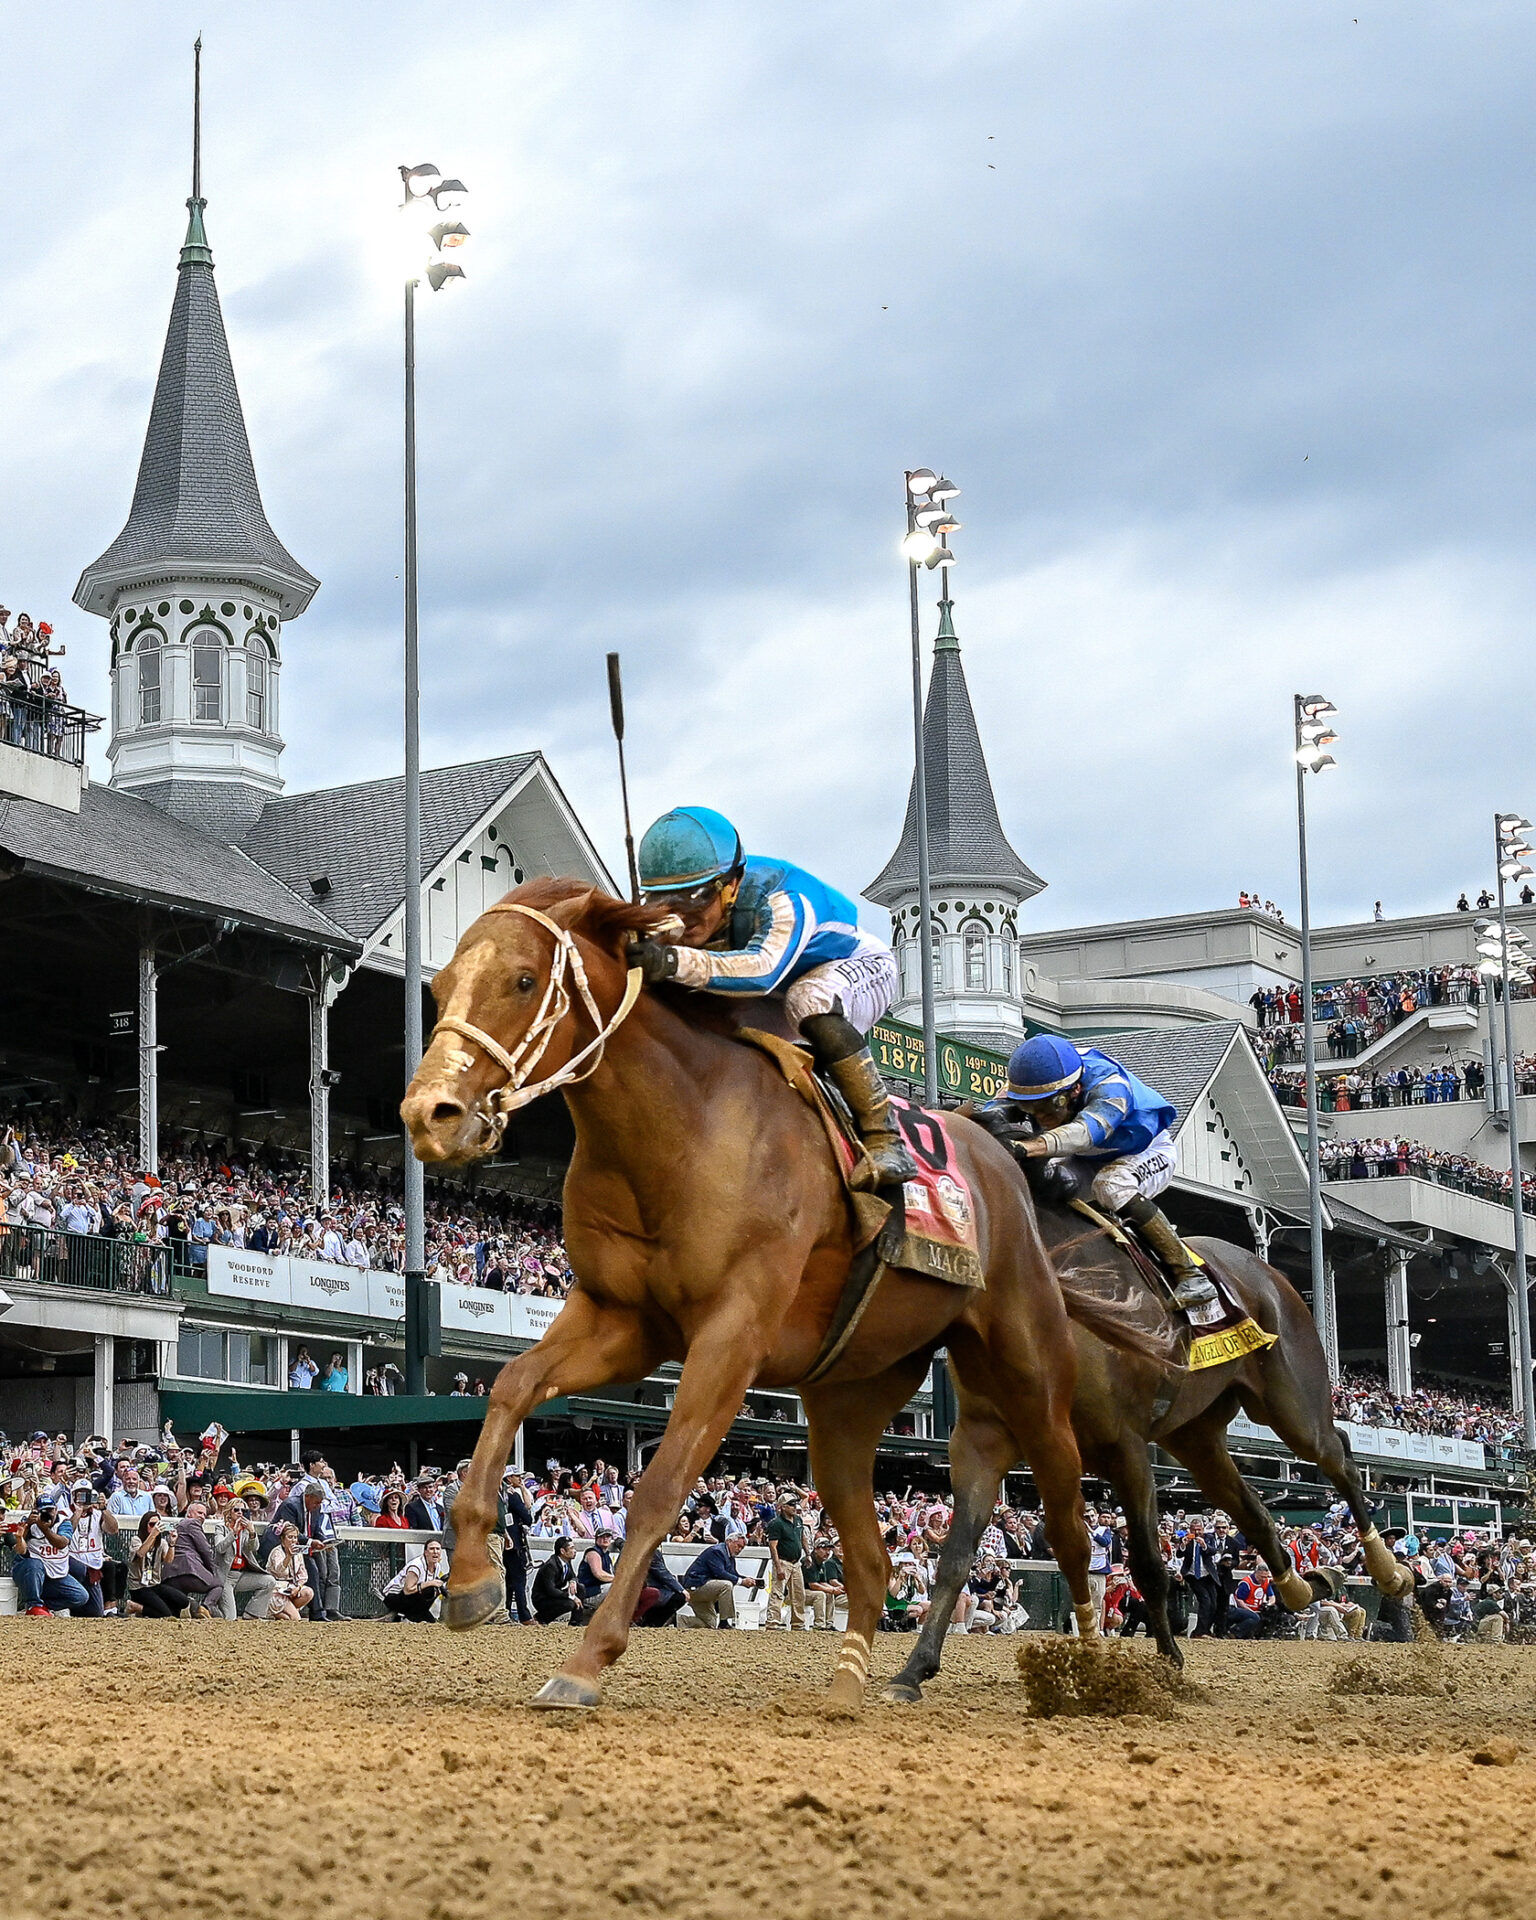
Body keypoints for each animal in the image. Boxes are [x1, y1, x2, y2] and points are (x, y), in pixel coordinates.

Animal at [401, 879, 1159, 1712]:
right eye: (439, 986)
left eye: (524, 979)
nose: (427, 1115)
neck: (683, 1126)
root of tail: (1005, 1156)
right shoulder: (624, 1322)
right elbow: (511, 1385)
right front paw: (470, 1582)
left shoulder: (732, 1335)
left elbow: (659, 1488)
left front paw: (586, 1661)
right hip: (848, 1401)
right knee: (872, 1556)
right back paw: (855, 1681)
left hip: (1028, 1369)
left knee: (1070, 1521)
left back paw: (1094, 1669)